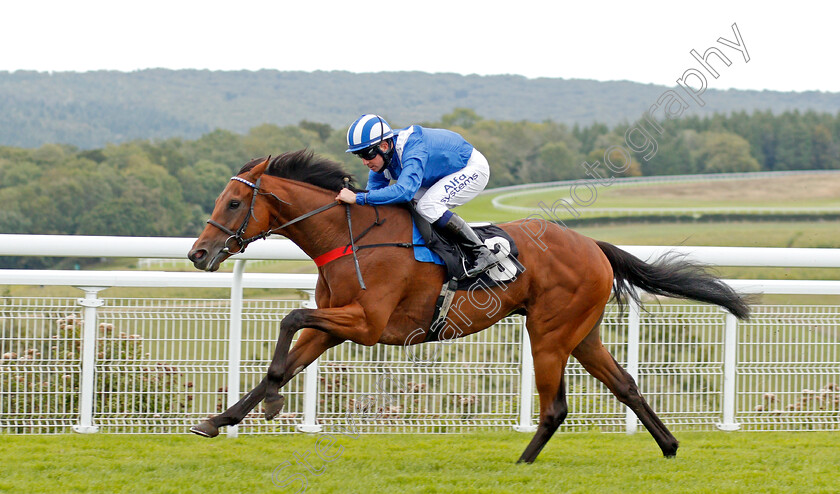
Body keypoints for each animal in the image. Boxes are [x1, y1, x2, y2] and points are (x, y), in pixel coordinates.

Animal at [185, 151, 748, 464]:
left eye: (233, 203)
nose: (198, 254)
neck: (350, 237)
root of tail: (592, 244)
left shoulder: (366, 324)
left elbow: (289, 319)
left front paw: (272, 404)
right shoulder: (336, 327)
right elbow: (287, 355)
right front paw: (222, 418)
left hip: (548, 334)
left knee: (556, 408)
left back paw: (521, 463)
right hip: (581, 333)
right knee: (626, 385)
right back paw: (669, 445)